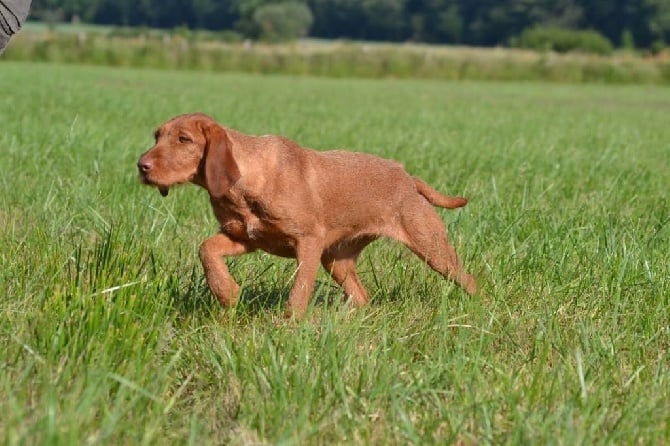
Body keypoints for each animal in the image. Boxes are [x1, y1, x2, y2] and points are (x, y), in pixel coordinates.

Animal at [138, 113, 478, 318]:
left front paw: (289, 326)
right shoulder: (245, 237)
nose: (141, 166)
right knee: (362, 296)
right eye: (156, 136)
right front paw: (227, 293)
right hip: (337, 260)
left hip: (432, 247)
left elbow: (299, 290)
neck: (250, 179)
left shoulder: (309, 242)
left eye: (184, 139)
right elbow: (206, 249)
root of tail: (407, 177)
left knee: (470, 280)